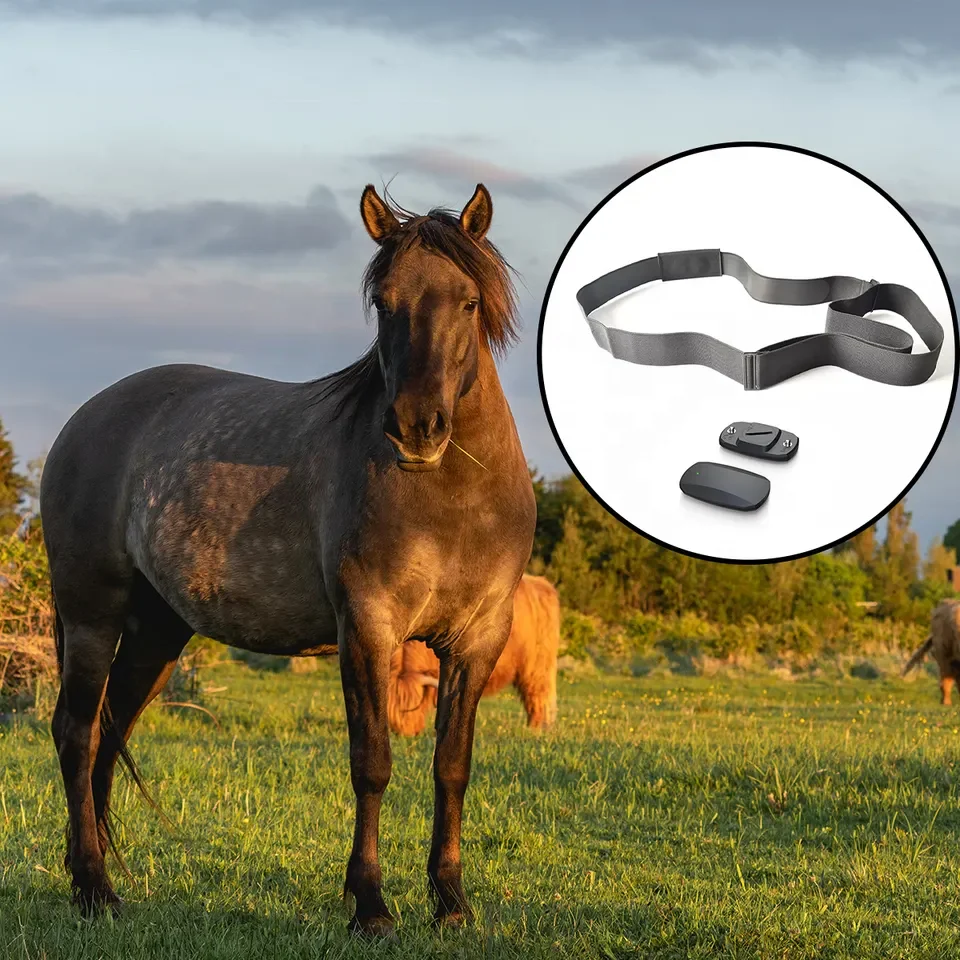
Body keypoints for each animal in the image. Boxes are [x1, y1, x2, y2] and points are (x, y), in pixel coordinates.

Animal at [39, 182, 537, 937]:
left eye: (469, 301)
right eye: (384, 301)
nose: (416, 427)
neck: (453, 498)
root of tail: (85, 419)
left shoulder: (478, 639)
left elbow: (452, 767)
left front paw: (451, 902)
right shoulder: (369, 628)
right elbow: (372, 763)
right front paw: (370, 905)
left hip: (156, 634)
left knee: (107, 732)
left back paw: (93, 882)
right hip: (92, 617)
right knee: (75, 734)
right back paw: (95, 890)